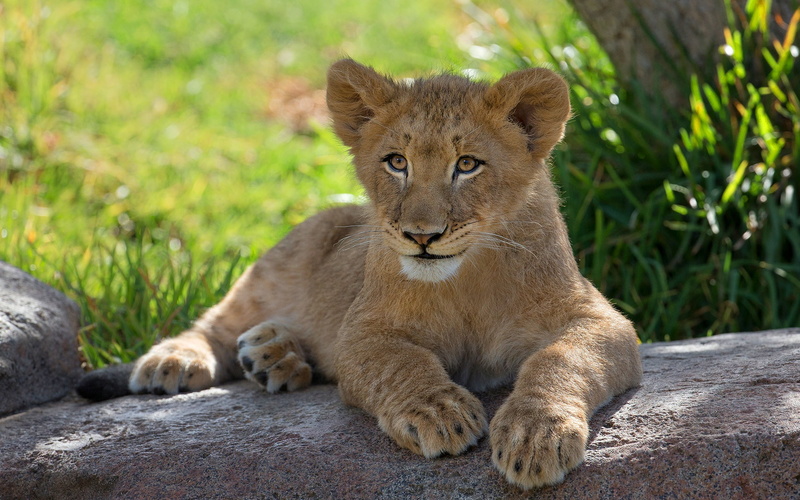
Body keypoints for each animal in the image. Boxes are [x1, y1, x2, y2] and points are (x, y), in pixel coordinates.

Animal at [79, 59, 642, 489]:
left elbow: (560, 358)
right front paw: (439, 413)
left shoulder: (601, 318)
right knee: (216, 321)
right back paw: (177, 361)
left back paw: (275, 355)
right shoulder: (362, 330)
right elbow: (401, 362)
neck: (467, 280)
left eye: (467, 164)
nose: (421, 236)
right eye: (396, 162)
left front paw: (535, 435)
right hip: (279, 263)